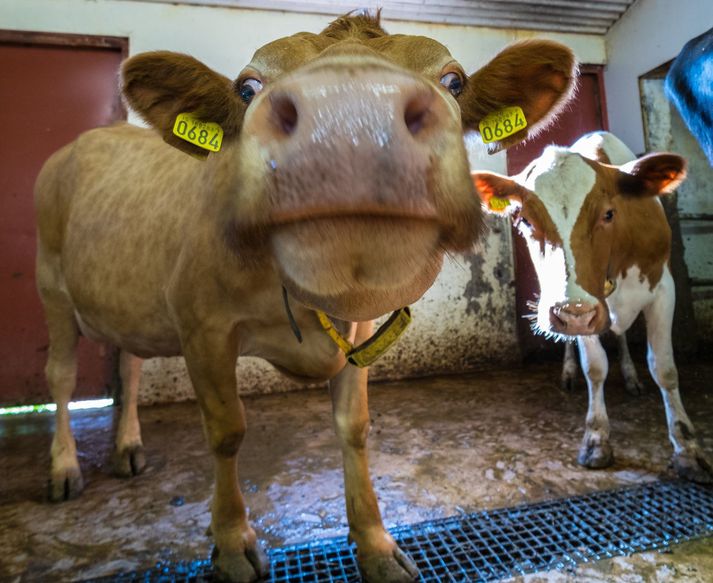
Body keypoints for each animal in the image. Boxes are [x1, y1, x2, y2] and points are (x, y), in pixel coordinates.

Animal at [36, 10, 576, 583]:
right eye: (246, 89)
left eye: (455, 81)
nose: (352, 122)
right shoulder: (202, 326)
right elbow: (226, 432)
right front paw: (231, 543)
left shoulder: (361, 333)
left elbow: (354, 428)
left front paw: (375, 546)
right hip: (51, 286)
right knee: (62, 376)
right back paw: (64, 467)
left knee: (128, 364)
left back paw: (127, 446)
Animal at [472, 131, 712, 484]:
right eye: (524, 220)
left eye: (609, 214)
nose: (571, 311)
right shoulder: (578, 310)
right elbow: (595, 368)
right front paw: (597, 439)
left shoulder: (663, 290)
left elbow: (664, 369)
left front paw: (688, 449)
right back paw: (569, 370)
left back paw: (630, 375)